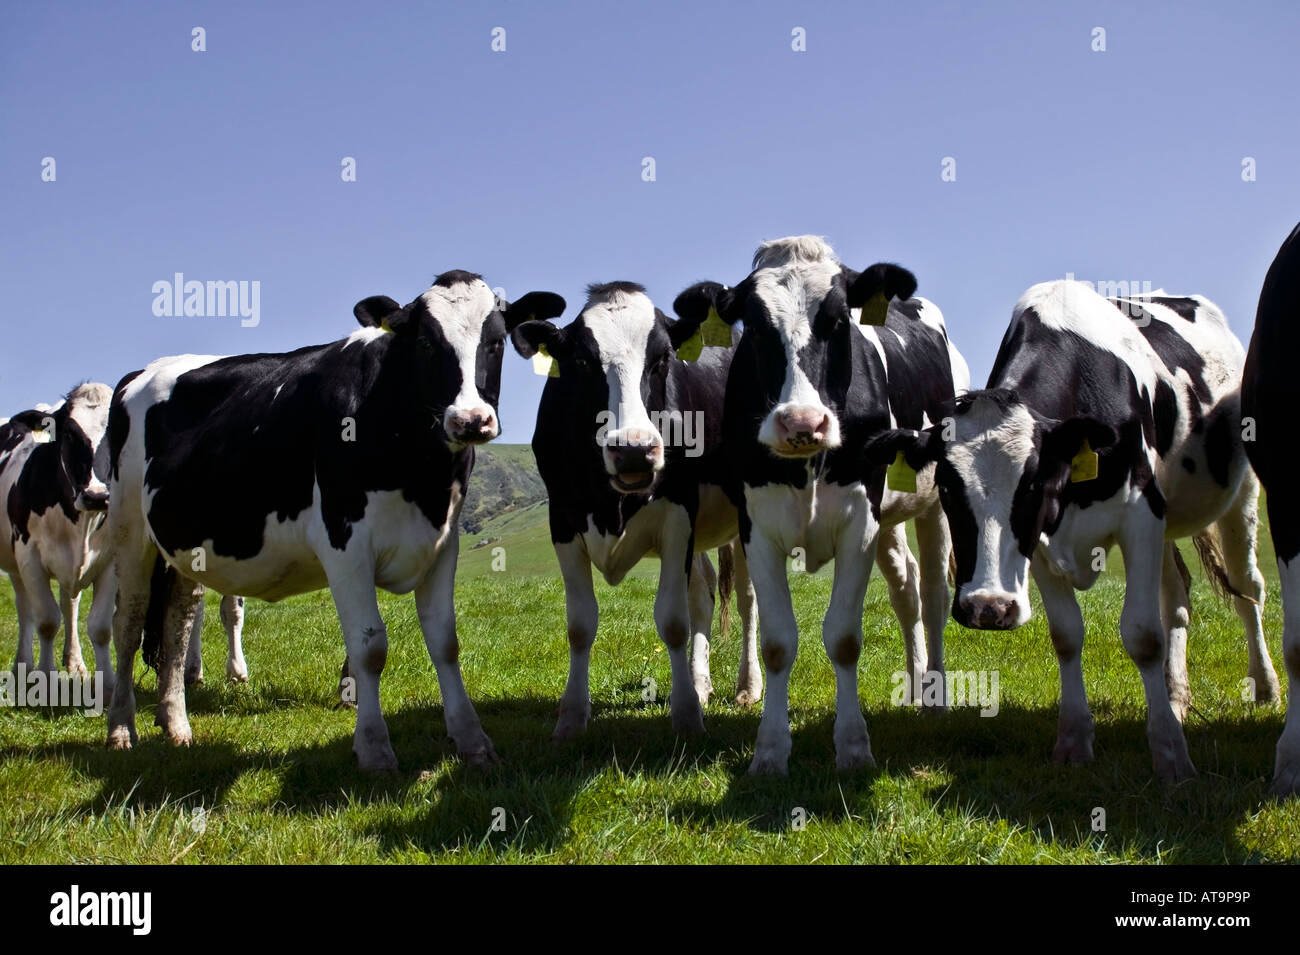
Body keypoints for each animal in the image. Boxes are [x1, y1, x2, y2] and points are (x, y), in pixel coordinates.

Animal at [103, 270, 565, 771]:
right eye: (425, 341)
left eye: (496, 342)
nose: (471, 420)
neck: (419, 471)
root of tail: (141, 373)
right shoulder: (344, 545)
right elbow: (369, 645)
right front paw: (374, 748)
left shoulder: (441, 541)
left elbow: (445, 642)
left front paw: (472, 741)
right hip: (129, 530)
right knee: (128, 624)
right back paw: (121, 729)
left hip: (185, 544)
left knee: (177, 623)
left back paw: (176, 725)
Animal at [508, 281, 758, 739]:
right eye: (583, 360)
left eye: (662, 359)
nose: (634, 450)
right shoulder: (562, 520)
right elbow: (580, 625)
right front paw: (571, 717)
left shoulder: (678, 515)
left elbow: (673, 620)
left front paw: (686, 716)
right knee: (703, 594)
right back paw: (700, 683)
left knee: (749, 599)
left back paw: (748, 686)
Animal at [673, 236, 968, 774]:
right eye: (754, 327)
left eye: (838, 320)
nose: (801, 423)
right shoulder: (758, 528)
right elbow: (777, 642)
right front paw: (770, 750)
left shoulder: (859, 524)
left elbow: (845, 639)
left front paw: (853, 747)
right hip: (889, 517)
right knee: (906, 587)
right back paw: (915, 682)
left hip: (934, 499)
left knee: (935, 591)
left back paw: (934, 695)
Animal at [868, 278, 1278, 782]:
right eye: (945, 483)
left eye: (1035, 483)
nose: (988, 607)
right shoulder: (1045, 542)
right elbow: (1066, 635)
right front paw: (1074, 740)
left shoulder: (1140, 514)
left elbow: (1143, 635)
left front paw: (1171, 755)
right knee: (1178, 596)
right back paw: (1176, 696)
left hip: (1241, 495)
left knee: (1248, 588)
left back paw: (1263, 686)